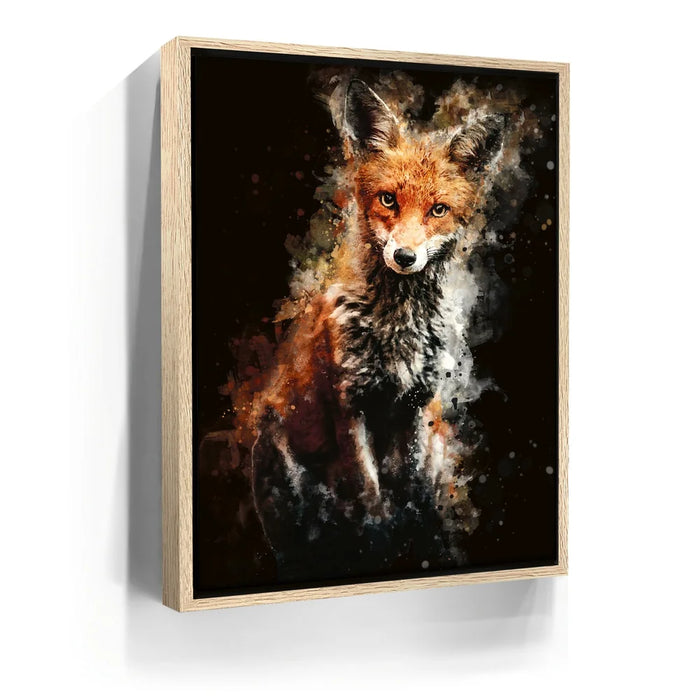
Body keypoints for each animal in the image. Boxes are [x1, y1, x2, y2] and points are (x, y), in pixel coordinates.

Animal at [251, 79, 503, 580]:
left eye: (438, 210)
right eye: (388, 200)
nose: (404, 256)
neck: (397, 328)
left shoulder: (416, 405)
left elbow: (412, 490)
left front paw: (419, 541)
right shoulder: (350, 406)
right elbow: (370, 495)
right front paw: (382, 543)